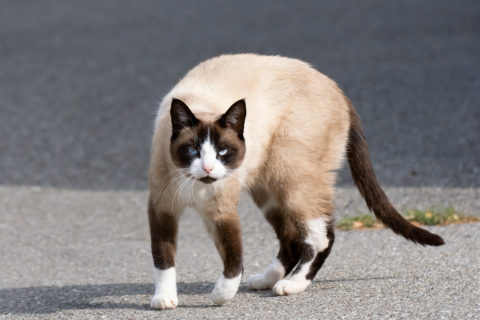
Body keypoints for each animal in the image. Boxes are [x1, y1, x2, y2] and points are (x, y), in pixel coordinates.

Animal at [148, 53, 444, 308]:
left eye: (223, 152)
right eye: (193, 151)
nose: (208, 168)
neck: (195, 186)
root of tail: (335, 86)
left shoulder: (221, 212)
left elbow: (233, 259)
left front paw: (221, 295)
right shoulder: (162, 209)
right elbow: (163, 257)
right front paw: (164, 299)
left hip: (291, 180)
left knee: (322, 236)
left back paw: (291, 285)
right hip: (268, 191)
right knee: (291, 238)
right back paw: (267, 280)